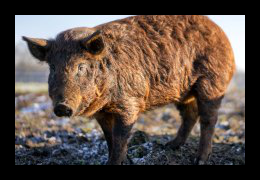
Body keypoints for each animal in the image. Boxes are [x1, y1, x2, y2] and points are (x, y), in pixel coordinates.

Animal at [22, 14, 236, 165]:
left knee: (209, 119)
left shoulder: (129, 103)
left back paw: (199, 160)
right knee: (189, 115)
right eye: (52, 67)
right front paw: (119, 160)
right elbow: (109, 138)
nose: (61, 107)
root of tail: (222, 35)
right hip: (184, 92)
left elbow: (120, 137)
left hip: (211, 82)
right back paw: (170, 146)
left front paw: (115, 163)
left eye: (81, 67)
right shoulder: (102, 112)